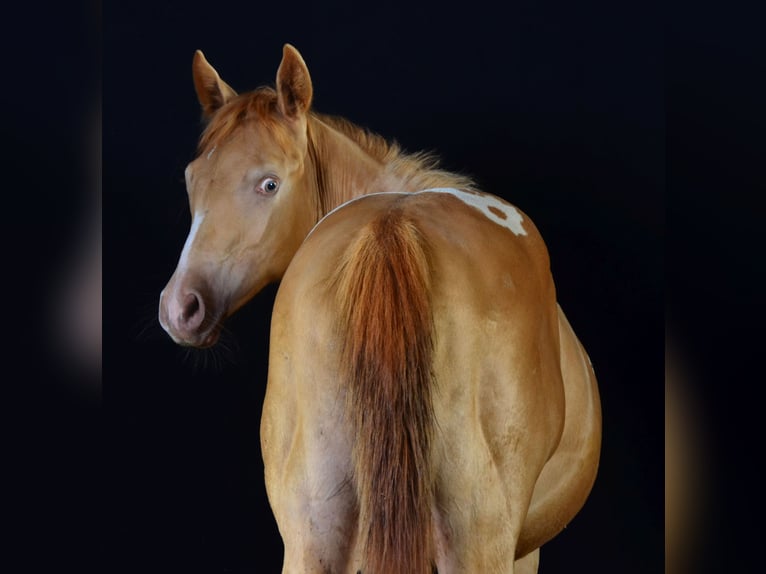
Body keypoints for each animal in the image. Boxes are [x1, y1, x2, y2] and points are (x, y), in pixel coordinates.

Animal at [159, 44, 601, 574]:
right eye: (191, 180)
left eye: (269, 184)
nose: (180, 306)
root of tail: (390, 227)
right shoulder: (523, 552)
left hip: (312, 541)